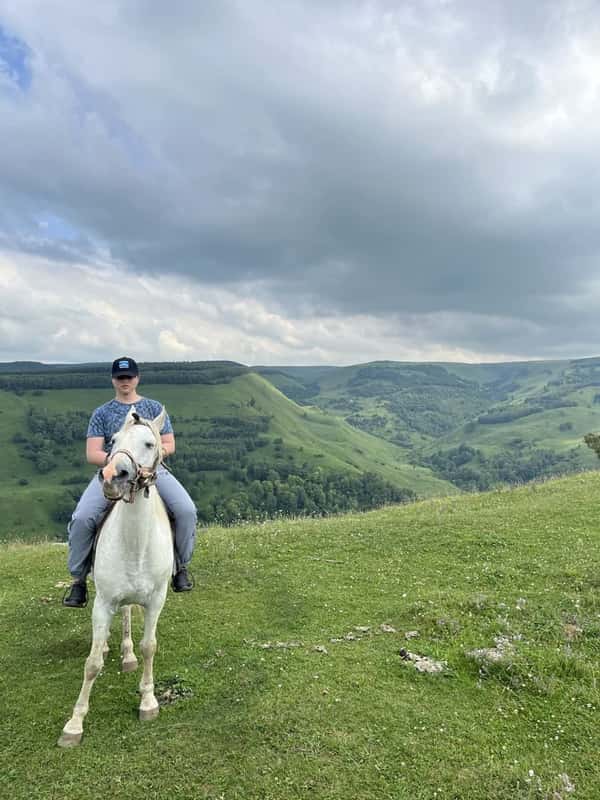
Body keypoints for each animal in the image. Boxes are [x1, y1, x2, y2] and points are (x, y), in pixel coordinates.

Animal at [58, 406, 172, 752]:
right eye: (113, 441)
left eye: (150, 443)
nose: (112, 476)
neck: (135, 543)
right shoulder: (104, 601)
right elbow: (92, 663)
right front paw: (74, 724)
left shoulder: (156, 600)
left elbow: (149, 646)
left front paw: (148, 702)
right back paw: (113, 646)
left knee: (127, 615)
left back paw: (127, 654)